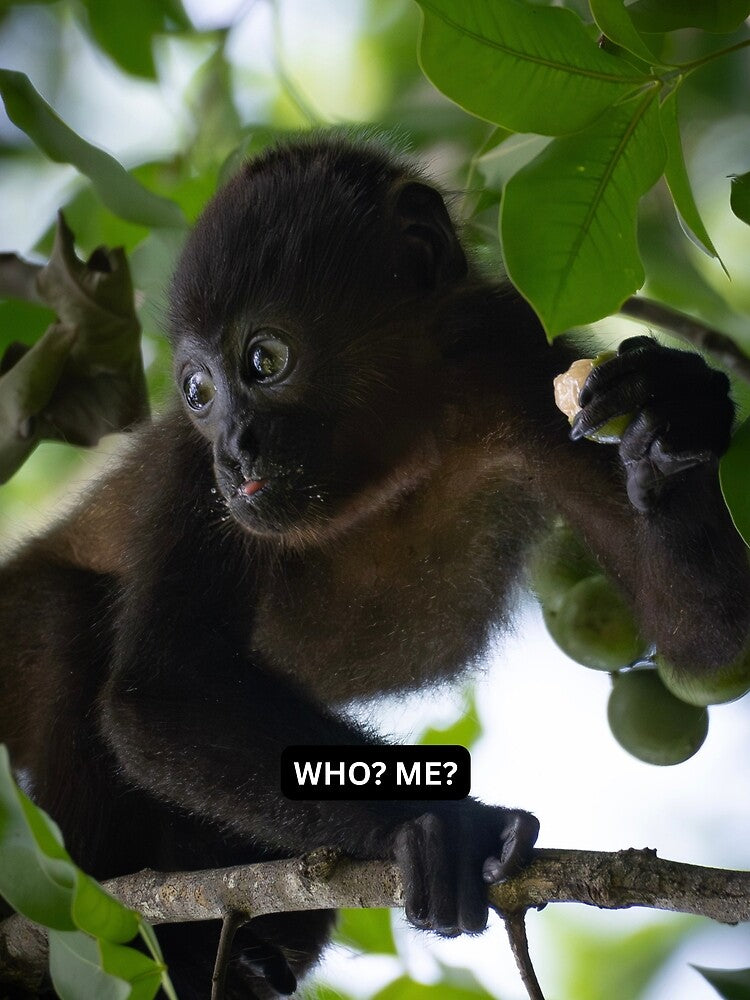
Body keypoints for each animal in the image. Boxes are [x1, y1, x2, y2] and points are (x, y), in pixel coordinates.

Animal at [0, 134, 748, 999]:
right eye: (196, 390)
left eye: (264, 359)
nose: (235, 451)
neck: (398, 445)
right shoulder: (190, 473)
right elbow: (161, 690)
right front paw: (442, 826)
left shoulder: (510, 353)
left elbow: (707, 641)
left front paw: (674, 412)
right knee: (59, 613)